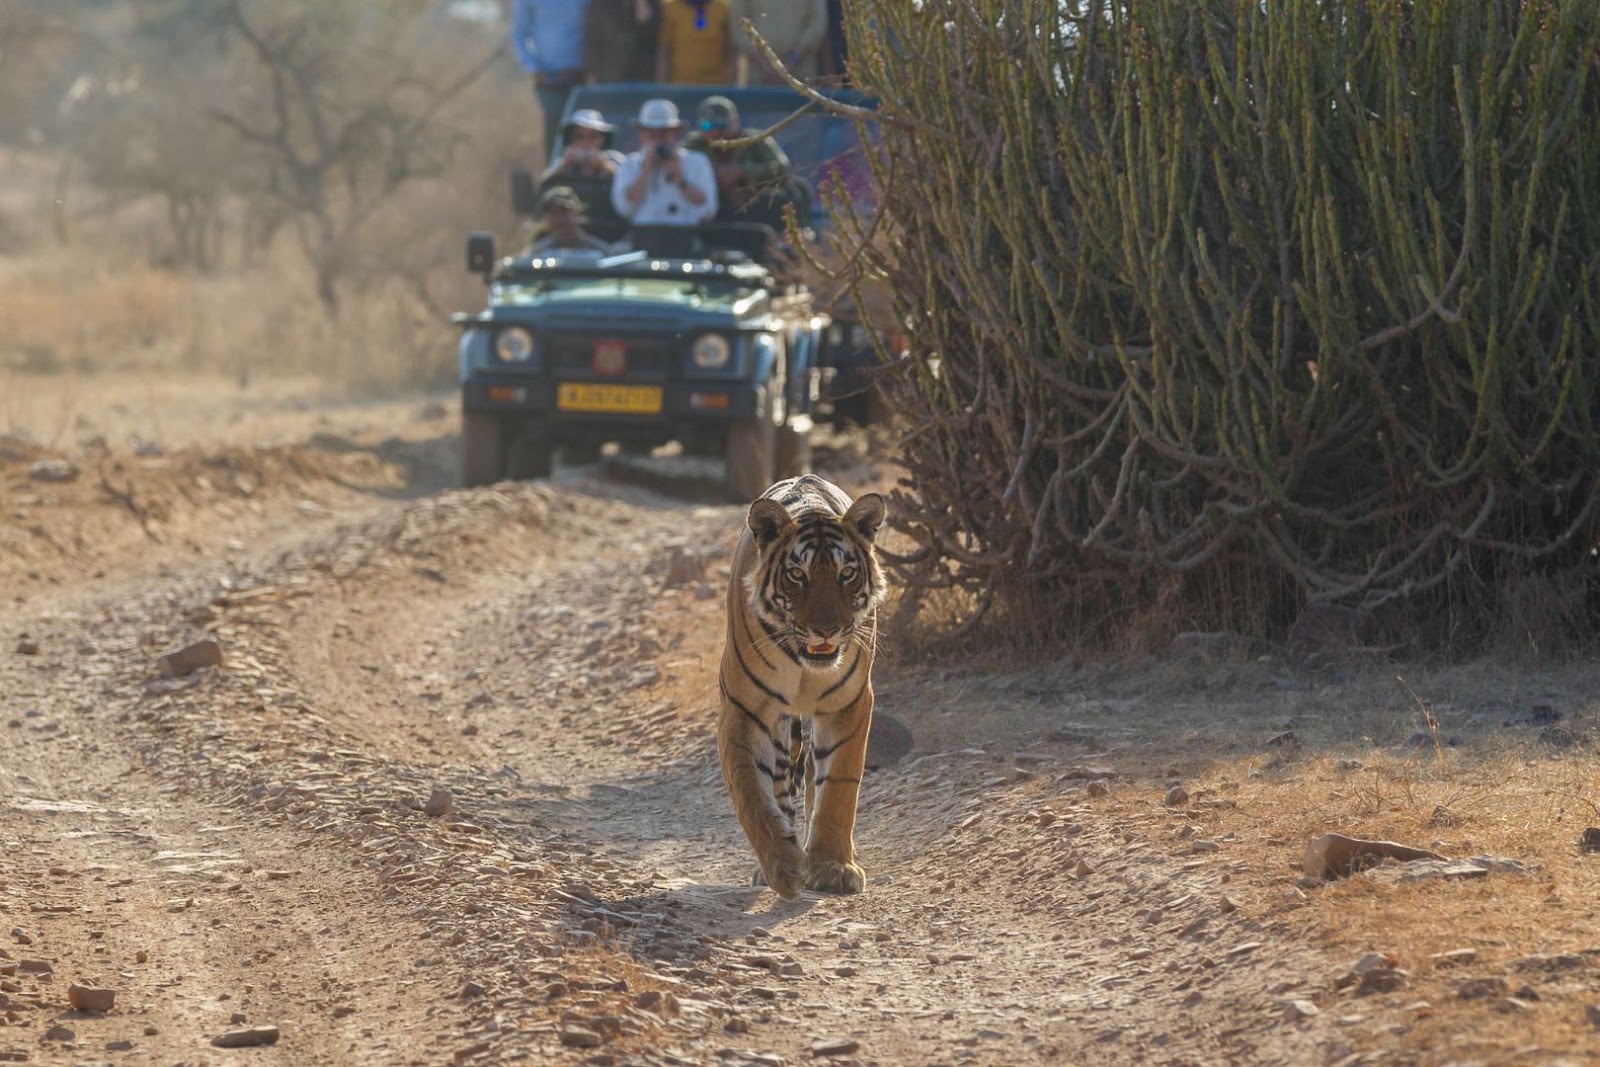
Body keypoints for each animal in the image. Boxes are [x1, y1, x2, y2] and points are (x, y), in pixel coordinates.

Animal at [717, 474, 889, 898]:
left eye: (847, 574)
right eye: (798, 575)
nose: (826, 629)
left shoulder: (849, 704)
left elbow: (838, 788)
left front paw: (831, 867)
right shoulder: (744, 710)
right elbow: (751, 792)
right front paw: (782, 865)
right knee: (780, 784)